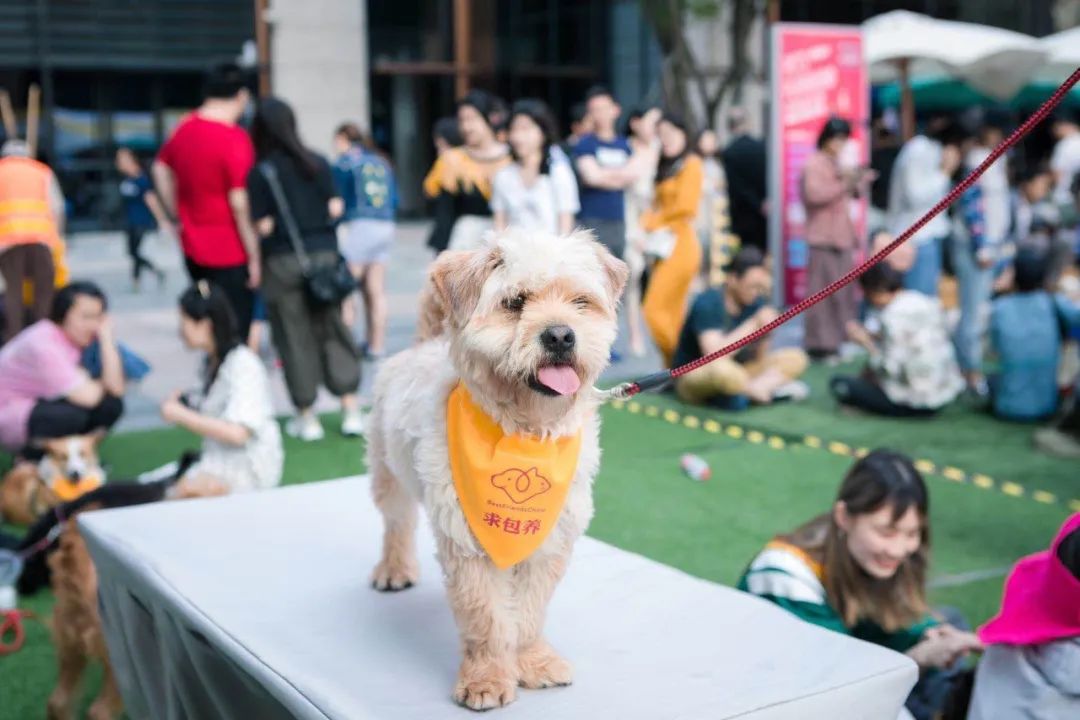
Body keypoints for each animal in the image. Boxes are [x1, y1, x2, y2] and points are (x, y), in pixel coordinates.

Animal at [367, 227, 628, 710]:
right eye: (515, 301)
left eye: (580, 302)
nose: (560, 335)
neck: (524, 433)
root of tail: (423, 344)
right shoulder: (465, 540)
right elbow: (486, 616)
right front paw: (486, 678)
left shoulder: (551, 539)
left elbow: (528, 611)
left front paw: (532, 662)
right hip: (387, 472)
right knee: (396, 523)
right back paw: (393, 570)